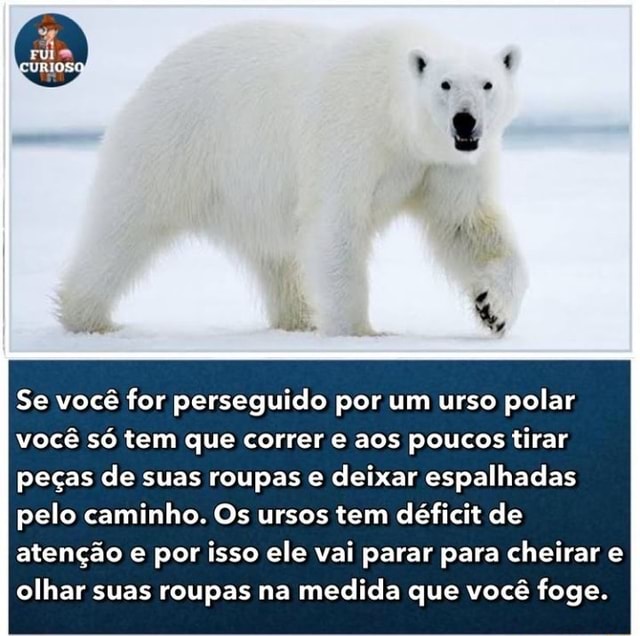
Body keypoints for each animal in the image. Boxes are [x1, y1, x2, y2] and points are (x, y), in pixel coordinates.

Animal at [57, 20, 528, 337]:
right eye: (445, 84)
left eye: (487, 84)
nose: (465, 121)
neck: (397, 121)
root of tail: (156, 74)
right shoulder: (351, 136)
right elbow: (337, 227)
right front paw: (359, 331)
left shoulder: (445, 164)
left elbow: (466, 225)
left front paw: (492, 308)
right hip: (173, 146)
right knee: (123, 229)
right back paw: (88, 318)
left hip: (250, 191)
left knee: (278, 258)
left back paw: (298, 318)